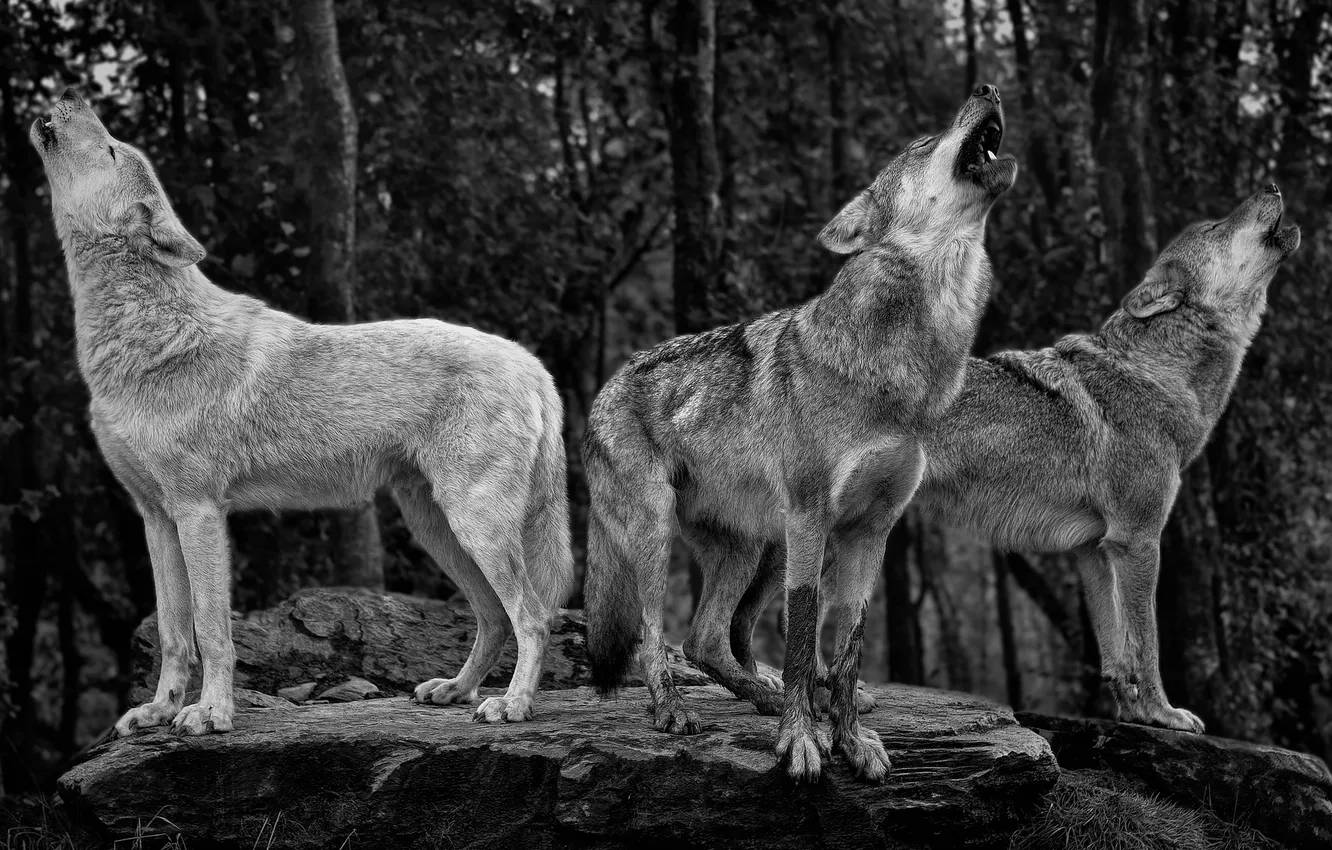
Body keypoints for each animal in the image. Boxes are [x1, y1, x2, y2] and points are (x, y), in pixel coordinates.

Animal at [31, 89, 574, 736]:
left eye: (112, 147)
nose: (71, 96)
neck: (145, 337)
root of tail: (531, 363)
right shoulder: (155, 518)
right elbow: (172, 632)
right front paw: (160, 709)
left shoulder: (199, 512)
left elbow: (212, 631)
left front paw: (211, 714)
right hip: (437, 527)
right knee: (493, 616)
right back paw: (456, 690)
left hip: (474, 523)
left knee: (532, 615)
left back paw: (512, 705)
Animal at [582, 85, 1017, 782]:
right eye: (923, 142)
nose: (988, 88)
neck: (906, 370)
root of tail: (605, 386)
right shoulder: (812, 515)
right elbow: (802, 633)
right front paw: (801, 740)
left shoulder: (873, 530)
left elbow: (847, 642)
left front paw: (848, 736)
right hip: (662, 535)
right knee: (656, 638)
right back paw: (673, 710)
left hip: (756, 546)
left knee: (706, 640)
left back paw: (760, 697)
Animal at [725, 185, 1299, 735]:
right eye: (1217, 226)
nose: (1273, 186)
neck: (1155, 376)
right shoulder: (1137, 541)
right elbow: (1147, 644)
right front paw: (1165, 714)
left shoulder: (1095, 550)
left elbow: (1115, 651)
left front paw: (1133, 714)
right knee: (781, 620)